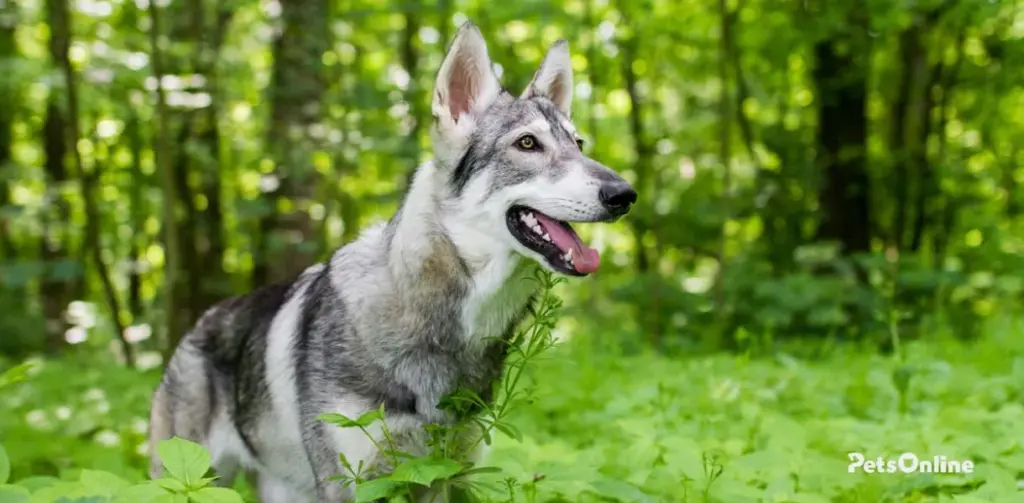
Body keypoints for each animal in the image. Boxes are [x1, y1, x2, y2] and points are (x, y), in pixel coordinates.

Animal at [148, 21, 634, 501]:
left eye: (579, 144)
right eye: (528, 143)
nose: (624, 194)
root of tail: (199, 323)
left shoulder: (446, 475)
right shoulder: (350, 484)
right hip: (189, 480)